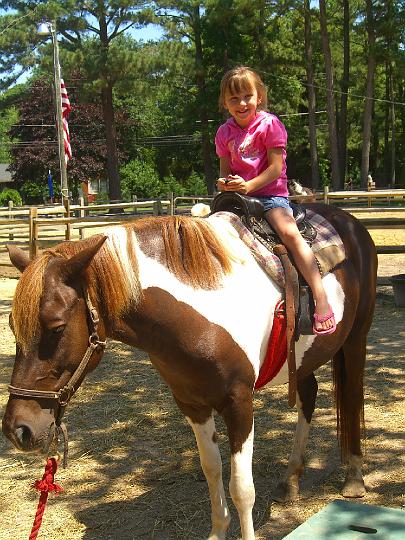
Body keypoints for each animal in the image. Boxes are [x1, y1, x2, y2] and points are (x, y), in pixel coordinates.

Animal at [2, 204, 376, 540]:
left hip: (355, 339)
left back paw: (354, 478)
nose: (18, 430)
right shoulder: (191, 403)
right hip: (302, 358)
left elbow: (242, 487)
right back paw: (291, 480)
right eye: (11, 325)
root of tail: (350, 221)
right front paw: (217, 531)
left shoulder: (239, 403)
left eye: (56, 326)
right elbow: (211, 469)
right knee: (309, 395)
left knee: (353, 396)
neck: (195, 311)